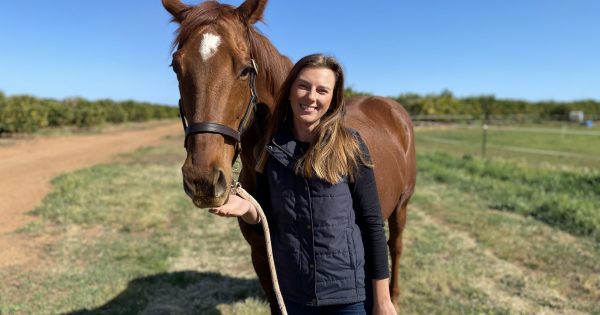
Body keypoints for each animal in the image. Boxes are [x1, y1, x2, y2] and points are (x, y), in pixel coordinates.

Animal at [162, 0, 418, 312]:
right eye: (176, 67)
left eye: (245, 70)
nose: (202, 180)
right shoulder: (262, 257)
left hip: (402, 206)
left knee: (395, 246)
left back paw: (393, 296)